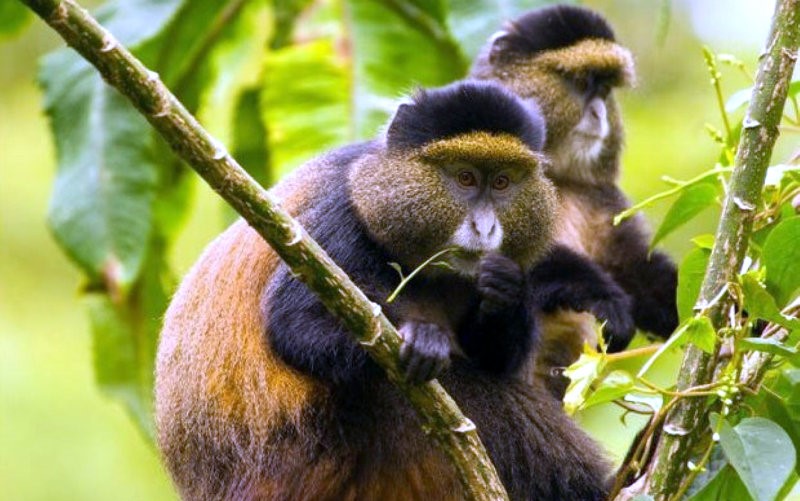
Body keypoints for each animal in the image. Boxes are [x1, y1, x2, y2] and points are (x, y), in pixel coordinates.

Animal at [155, 80, 635, 500]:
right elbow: (295, 326)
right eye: (464, 178)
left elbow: (497, 355)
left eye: (502, 182)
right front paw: (421, 339)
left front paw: (507, 290)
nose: (484, 228)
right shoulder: (337, 219)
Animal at [471, 5, 679, 396]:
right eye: (582, 83)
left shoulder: (601, 197)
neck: (556, 176)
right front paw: (602, 296)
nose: (599, 114)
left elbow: (634, 266)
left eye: (605, 88)